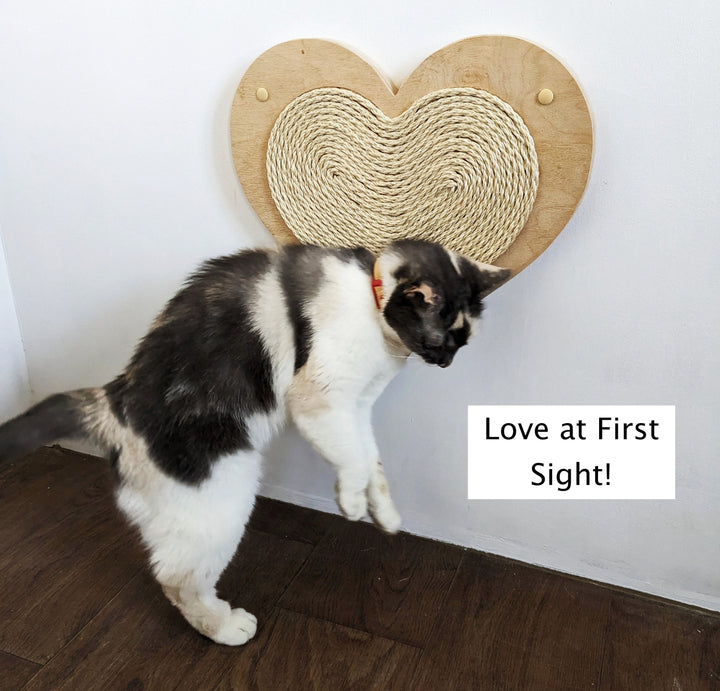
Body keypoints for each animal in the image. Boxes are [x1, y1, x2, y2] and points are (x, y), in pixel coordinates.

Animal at [0, 241, 506, 648]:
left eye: (462, 343)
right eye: (440, 339)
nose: (445, 362)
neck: (371, 297)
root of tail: (115, 404)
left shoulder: (356, 410)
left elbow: (371, 462)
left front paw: (383, 513)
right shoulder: (320, 400)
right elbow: (355, 462)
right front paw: (350, 503)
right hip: (222, 504)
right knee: (177, 580)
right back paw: (225, 628)